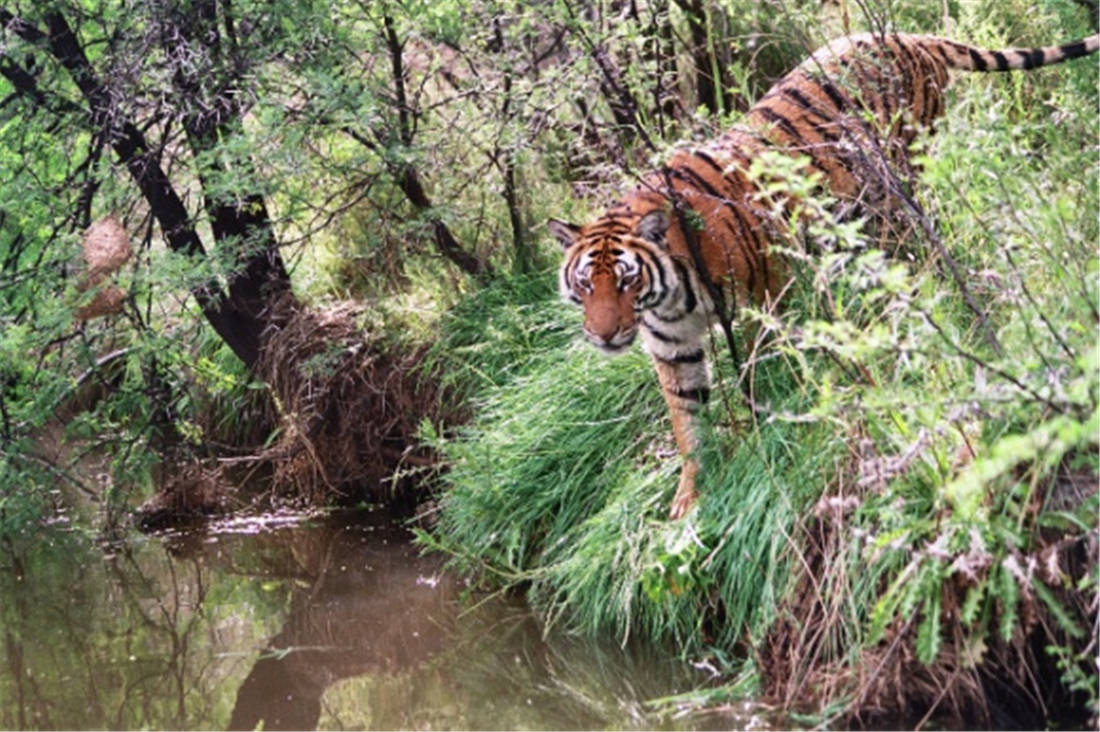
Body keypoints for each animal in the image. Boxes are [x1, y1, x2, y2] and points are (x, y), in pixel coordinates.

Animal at [550, 29, 1100, 519]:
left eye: (626, 280)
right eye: (586, 284)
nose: (604, 335)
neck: (666, 299)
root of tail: (908, 36)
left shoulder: (764, 297)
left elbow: (758, 373)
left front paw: (761, 431)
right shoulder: (672, 345)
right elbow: (686, 420)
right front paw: (690, 497)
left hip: (900, 178)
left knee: (922, 241)